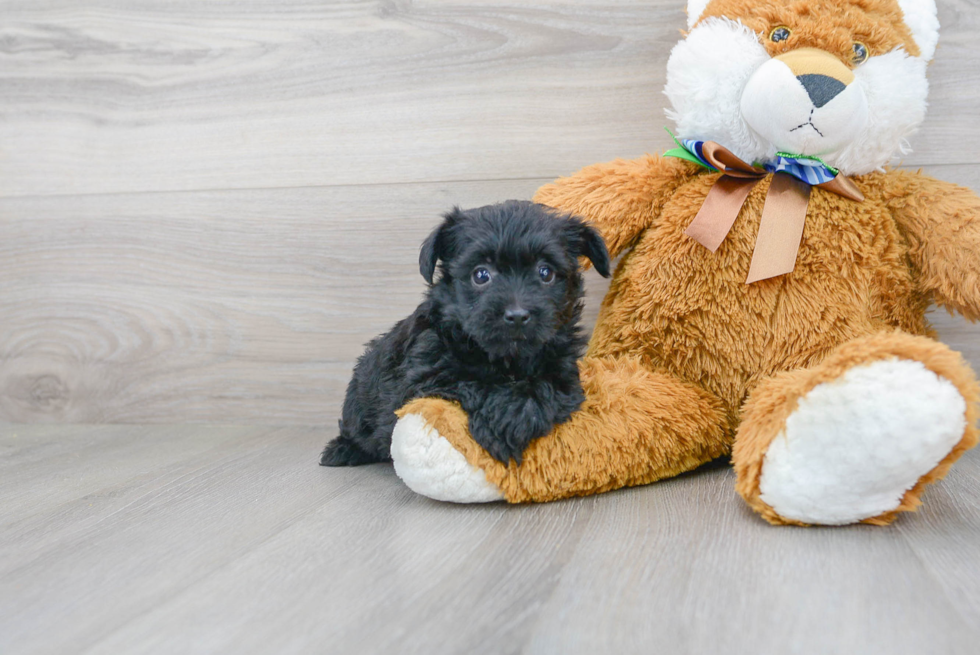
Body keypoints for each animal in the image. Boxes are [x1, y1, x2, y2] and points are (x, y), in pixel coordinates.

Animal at [318, 200, 608, 466]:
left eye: (545, 272)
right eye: (481, 275)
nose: (516, 315)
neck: (506, 358)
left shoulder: (563, 370)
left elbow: (547, 386)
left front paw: (517, 414)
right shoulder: (425, 375)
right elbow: (470, 381)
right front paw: (506, 422)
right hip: (359, 396)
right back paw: (343, 450)